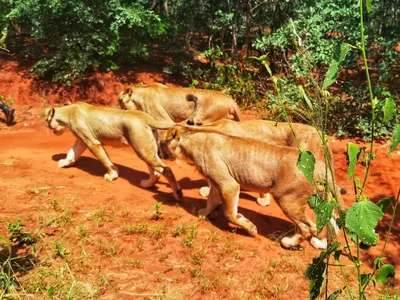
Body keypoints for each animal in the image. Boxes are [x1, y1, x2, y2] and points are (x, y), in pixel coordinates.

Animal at [45, 101, 181, 202]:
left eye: (47, 122)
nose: (51, 130)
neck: (69, 111)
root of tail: (146, 117)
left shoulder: (92, 142)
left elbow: (104, 160)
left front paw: (112, 175)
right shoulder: (82, 141)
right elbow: (72, 153)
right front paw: (64, 163)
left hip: (142, 148)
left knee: (166, 170)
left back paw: (178, 195)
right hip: (146, 149)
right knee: (156, 171)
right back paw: (147, 184)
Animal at [160, 125, 344, 250]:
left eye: (161, 142)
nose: (159, 153)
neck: (193, 138)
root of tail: (321, 165)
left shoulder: (229, 185)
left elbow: (230, 214)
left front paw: (250, 228)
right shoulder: (217, 182)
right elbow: (211, 201)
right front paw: (204, 214)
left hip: (287, 199)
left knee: (308, 227)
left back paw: (288, 242)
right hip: (320, 198)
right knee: (332, 220)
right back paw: (322, 243)